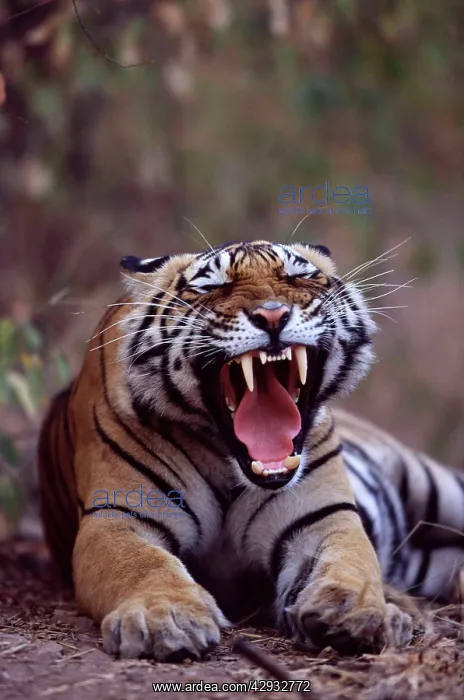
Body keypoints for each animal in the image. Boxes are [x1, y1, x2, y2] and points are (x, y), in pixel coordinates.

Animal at [38, 239, 464, 661]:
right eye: (211, 286)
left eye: (298, 275)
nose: (273, 316)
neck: (228, 461)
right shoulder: (117, 518)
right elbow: (142, 564)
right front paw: (166, 618)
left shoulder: (323, 518)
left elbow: (349, 560)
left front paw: (352, 608)